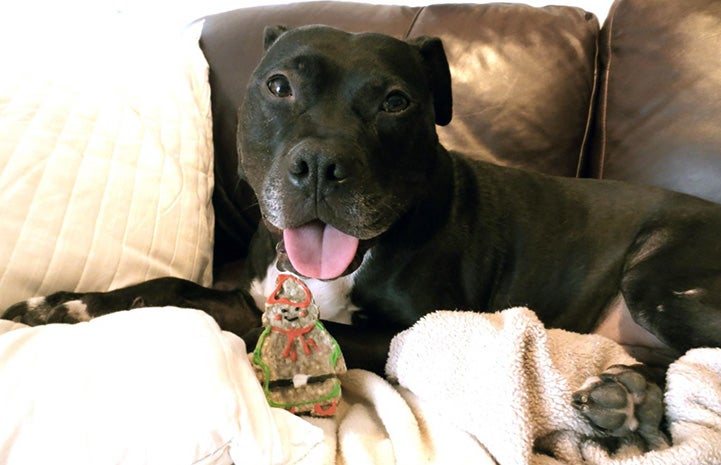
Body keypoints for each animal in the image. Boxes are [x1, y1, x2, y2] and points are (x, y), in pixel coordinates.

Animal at [4, 24, 720, 442]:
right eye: (279, 86)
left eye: (395, 102)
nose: (320, 164)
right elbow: (176, 285)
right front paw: (64, 304)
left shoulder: (401, 330)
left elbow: (252, 322)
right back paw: (628, 394)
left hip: (657, 279)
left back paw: (627, 398)